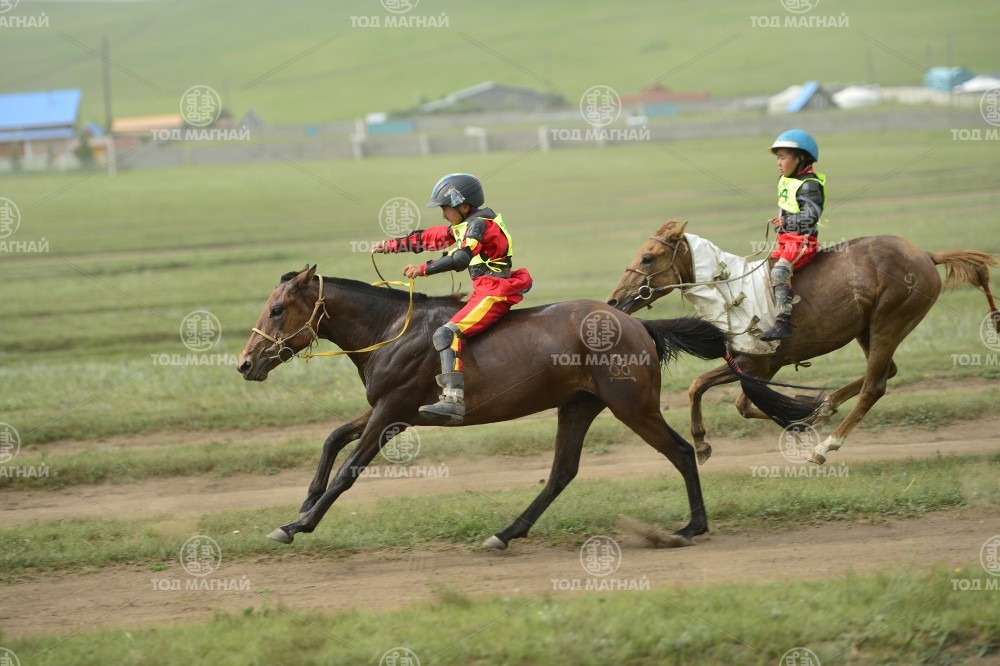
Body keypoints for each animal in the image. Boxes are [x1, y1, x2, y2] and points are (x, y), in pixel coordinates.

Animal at [237, 265, 812, 549]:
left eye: (277, 308)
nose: (245, 363)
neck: (390, 329)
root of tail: (636, 323)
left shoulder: (393, 411)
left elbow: (349, 470)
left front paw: (297, 525)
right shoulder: (387, 409)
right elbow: (333, 438)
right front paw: (304, 501)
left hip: (632, 405)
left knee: (680, 452)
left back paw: (692, 526)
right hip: (579, 406)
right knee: (561, 472)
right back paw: (507, 532)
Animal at [606, 221, 1000, 465]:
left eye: (647, 257)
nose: (614, 300)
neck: (730, 289)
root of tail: (926, 255)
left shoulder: (756, 363)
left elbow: (700, 386)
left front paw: (702, 442)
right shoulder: (759, 366)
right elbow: (738, 402)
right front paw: (805, 416)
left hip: (890, 321)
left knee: (875, 384)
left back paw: (827, 445)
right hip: (868, 329)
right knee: (887, 370)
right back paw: (826, 406)